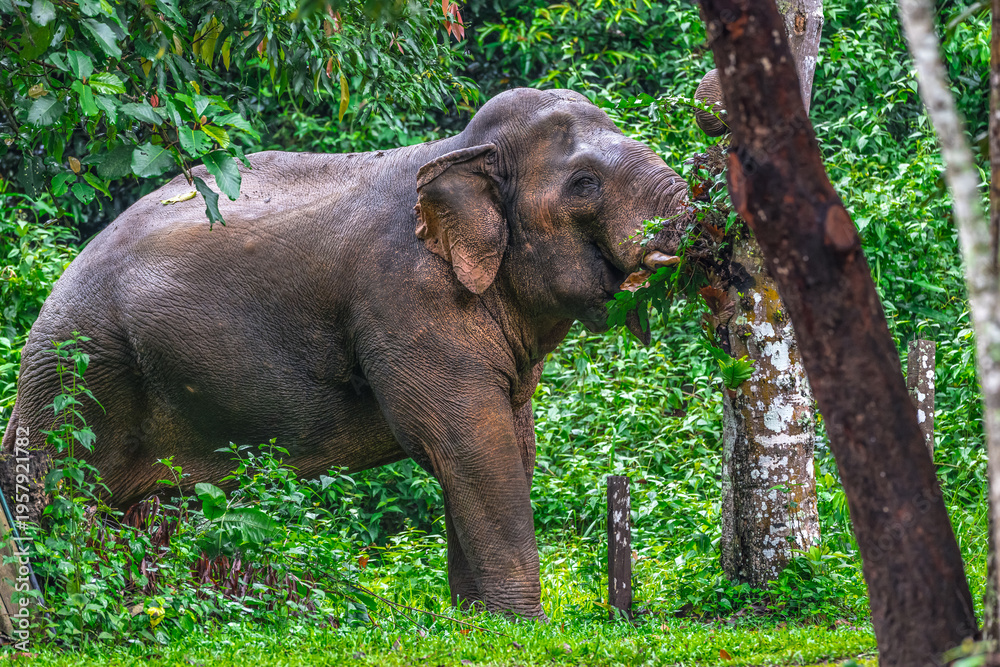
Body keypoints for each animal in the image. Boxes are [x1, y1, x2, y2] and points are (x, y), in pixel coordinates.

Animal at [1, 87, 690, 619]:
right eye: (584, 184)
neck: (459, 150)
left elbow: (507, 445)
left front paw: (475, 622)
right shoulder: (404, 299)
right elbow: (467, 442)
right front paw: (521, 628)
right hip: (78, 371)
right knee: (54, 493)